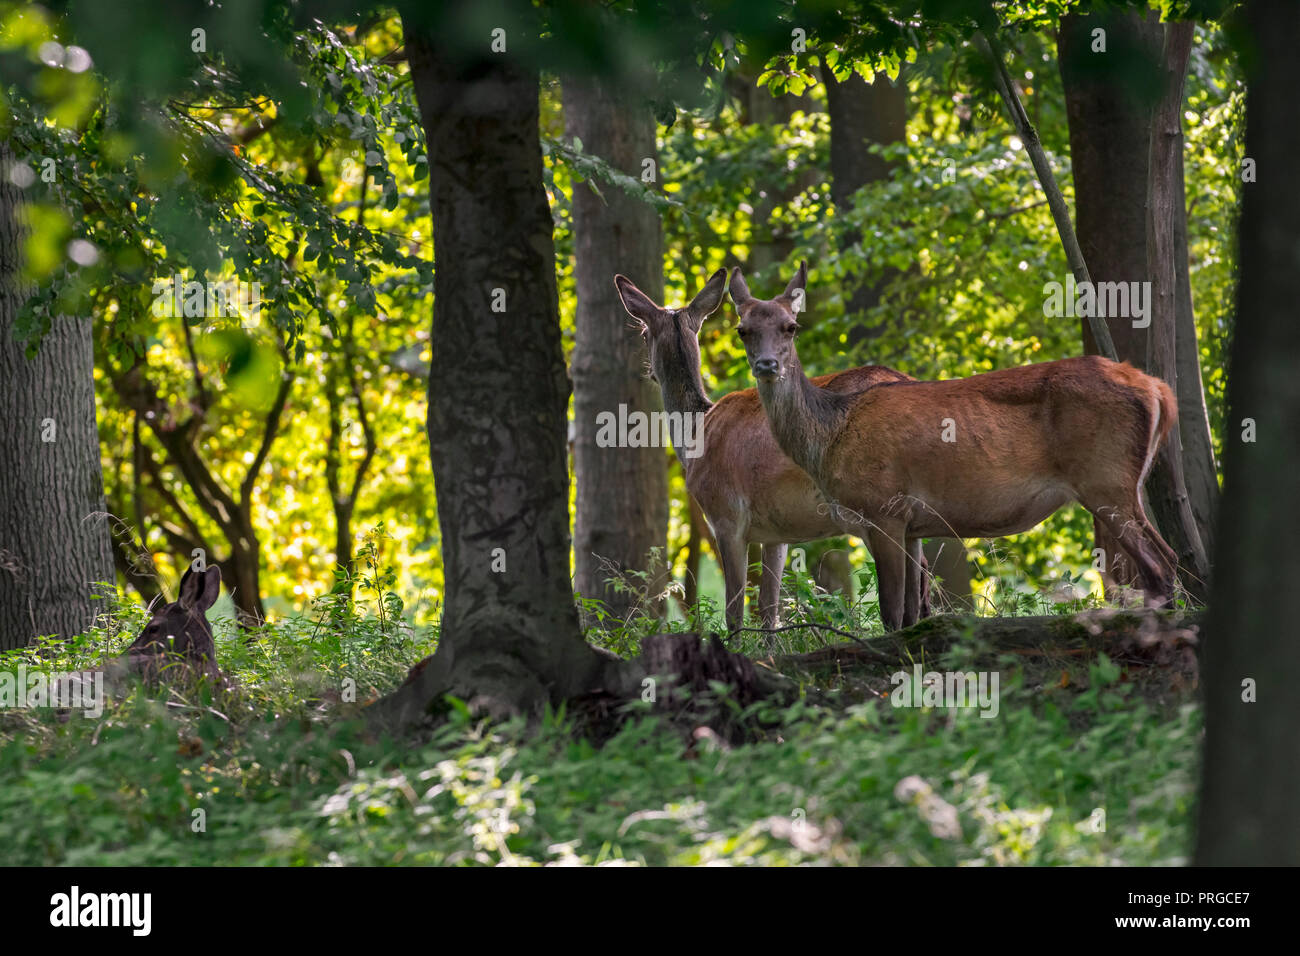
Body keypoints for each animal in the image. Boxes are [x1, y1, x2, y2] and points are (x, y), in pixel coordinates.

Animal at [614, 267, 931, 634]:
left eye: (643, 333)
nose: (648, 372)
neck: (695, 435)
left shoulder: (726, 515)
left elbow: (735, 610)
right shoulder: (776, 530)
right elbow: (769, 607)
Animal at [729, 261, 1180, 633]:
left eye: (791, 326)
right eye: (743, 330)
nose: (767, 365)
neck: (830, 437)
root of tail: (1157, 389)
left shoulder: (884, 507)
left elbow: (892, 612)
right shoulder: (911, 523)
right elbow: (911, 613)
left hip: (1105, 478)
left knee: (1159, 563)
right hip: (1122, 482)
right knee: (1169, 558)